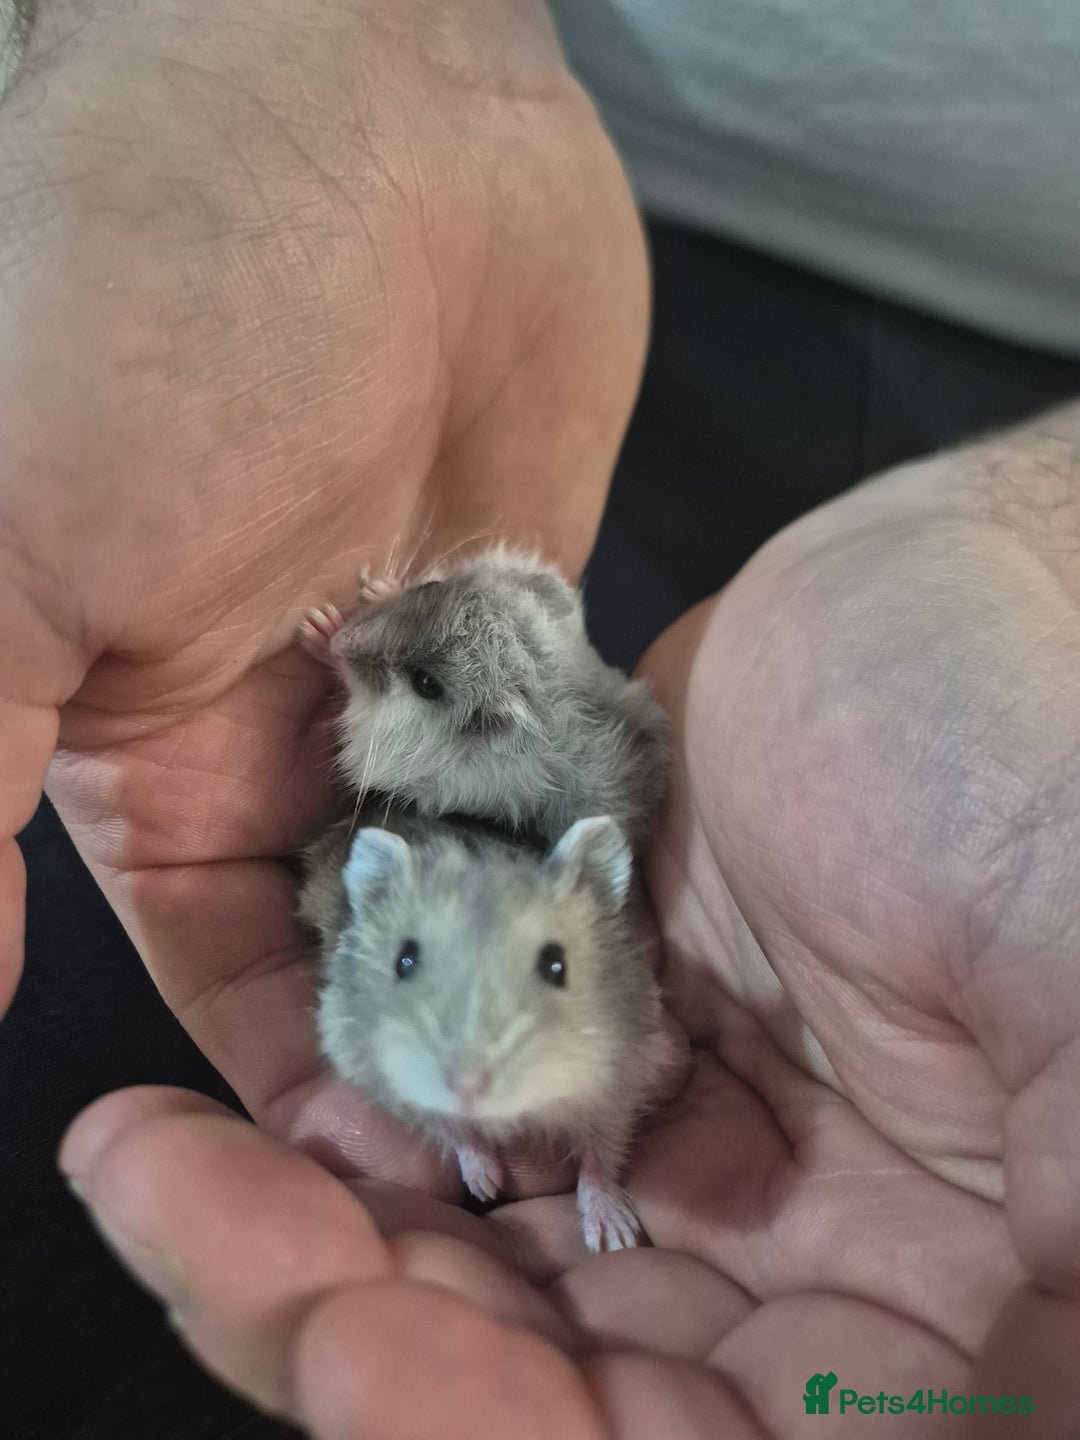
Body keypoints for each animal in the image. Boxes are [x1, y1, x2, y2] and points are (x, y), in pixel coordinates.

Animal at [298, 545, 669, 853]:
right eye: (428, 587)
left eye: (426, 683)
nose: (342, 641)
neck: (539, 673)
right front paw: (329, 618)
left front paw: (314, 629)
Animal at [310, 809, 672, 1253]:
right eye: (404, 961)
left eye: (556, 965)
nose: (467, 1085)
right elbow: (453, 1128)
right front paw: (487, 1184)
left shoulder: (622, 1073)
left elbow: (602, 1151)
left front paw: (614, 1238)